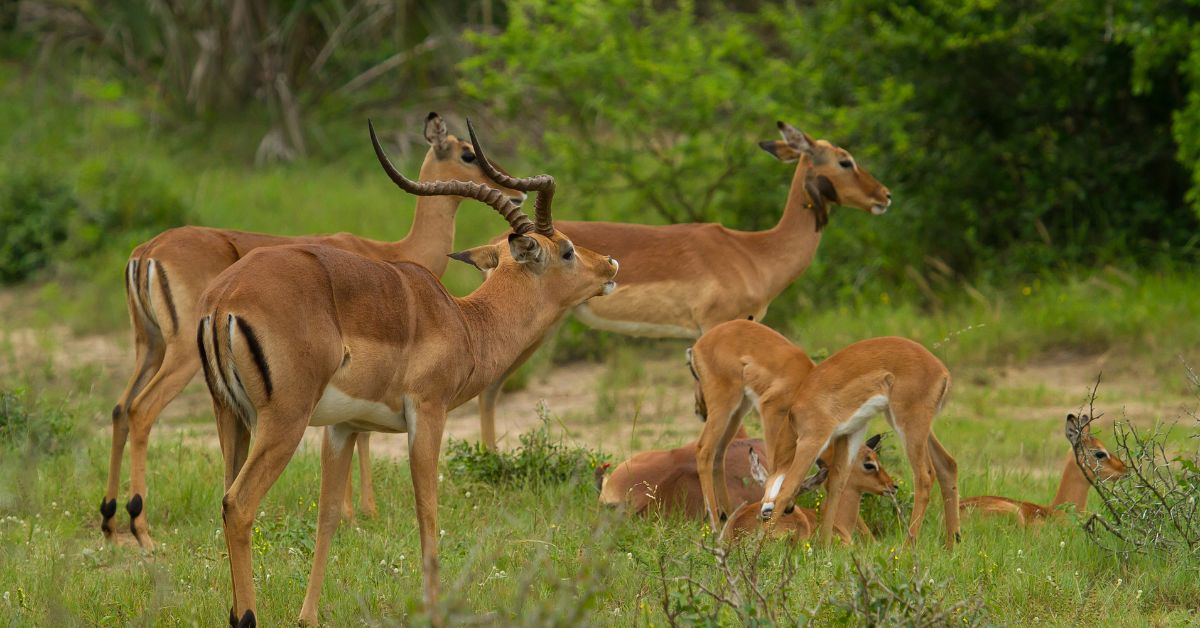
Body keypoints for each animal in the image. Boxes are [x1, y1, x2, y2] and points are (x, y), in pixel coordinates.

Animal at [101, 113, 525, 547]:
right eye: (467, 153)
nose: (515, 190)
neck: (393, 253)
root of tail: (145, 253)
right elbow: (362, 436)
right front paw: (362, 512)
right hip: (187, 358)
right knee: (142, 410)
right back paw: (141, 529)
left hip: (150, 348)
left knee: (120, 408)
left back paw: (110, 520)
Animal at [198, 122, 617, 627]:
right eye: (567, 251)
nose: (611, 265)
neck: (464, 322)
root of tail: (224, 299)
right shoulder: (428, 414)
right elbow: (428, 512)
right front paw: (435, 611)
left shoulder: (342, 427)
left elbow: (328, 517)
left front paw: (308, 616)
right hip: (284, 422)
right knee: (239, 505)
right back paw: (247, 615)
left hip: (232, 417)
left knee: (226, 498)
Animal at [471, 121, 891, 449]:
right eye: (845, 160)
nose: (884, 196)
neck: (754, 252)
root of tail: (496, 246)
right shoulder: (715, 326)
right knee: (490, 389)